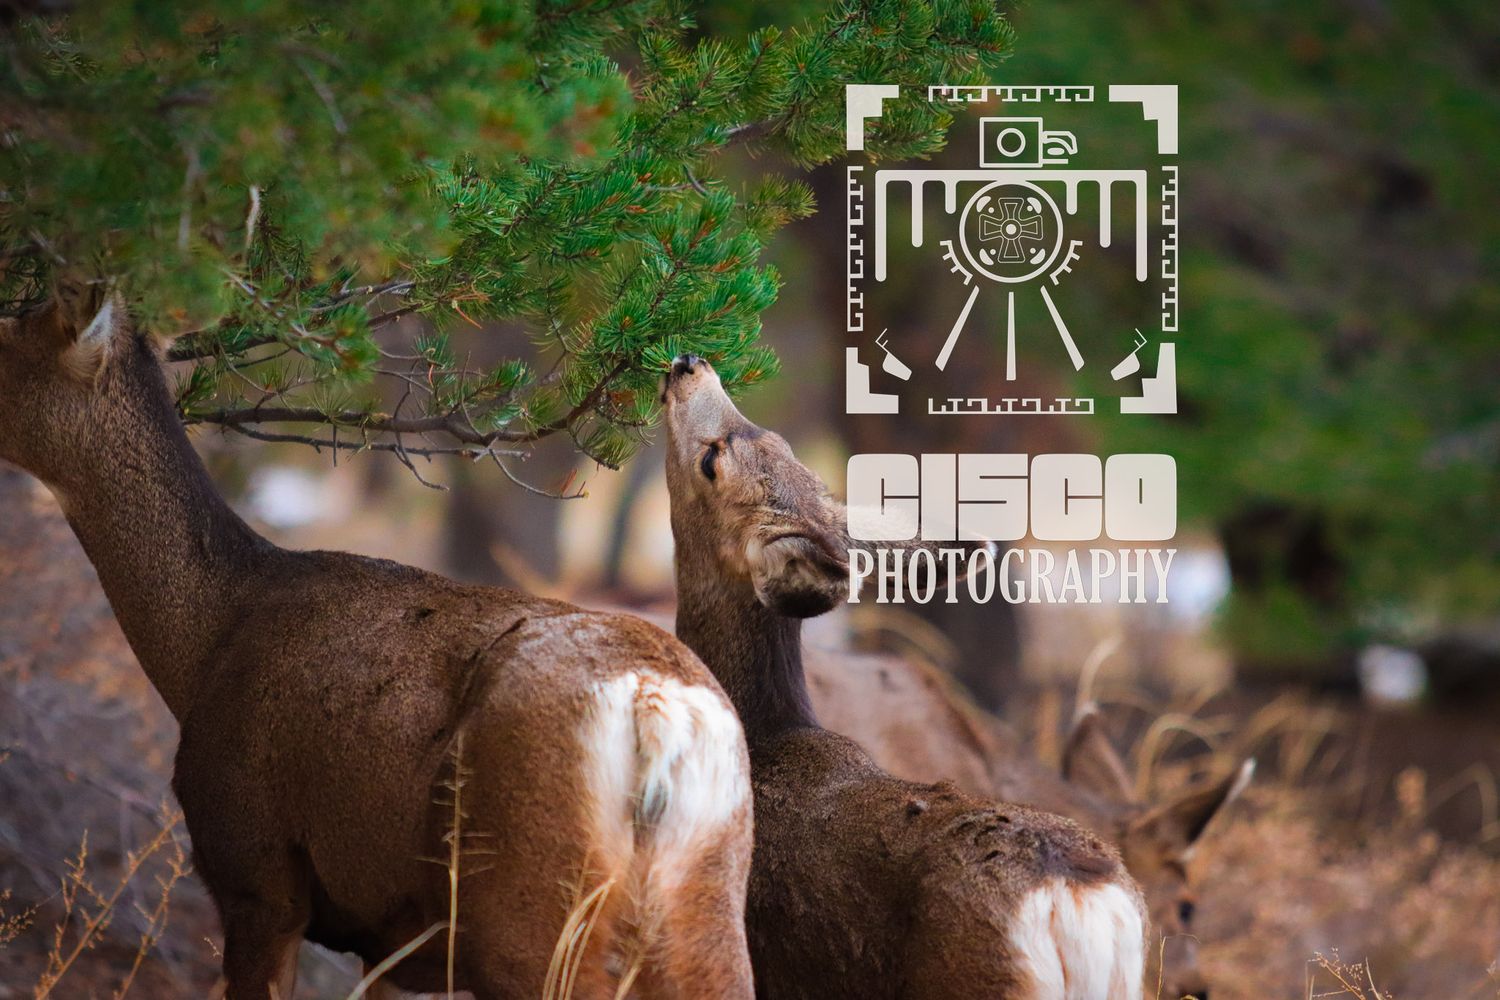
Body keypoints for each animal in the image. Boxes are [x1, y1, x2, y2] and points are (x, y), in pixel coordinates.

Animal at [0, 290, 756, 1000]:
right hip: (706, 908)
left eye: (5, 330)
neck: (212, 639)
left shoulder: (257, 872)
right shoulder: (390, 938)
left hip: (524, 911)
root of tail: (658, 711)